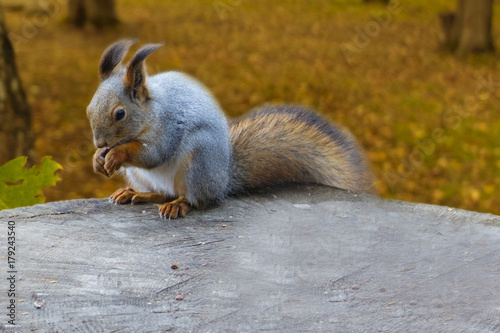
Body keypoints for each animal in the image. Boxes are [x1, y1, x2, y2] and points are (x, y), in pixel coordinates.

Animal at [87, 39, 376, 218]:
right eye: (89, 109)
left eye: (120, 114)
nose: (99, 143)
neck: (150, 114)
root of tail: (224, 180)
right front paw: (98, 159)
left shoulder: (168, 128)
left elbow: (152, 154)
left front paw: (116, 154)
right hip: (141, 175)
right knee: (162, 192)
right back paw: (135, 193)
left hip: (198, 162)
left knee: (194, 199)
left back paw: (177, 205)